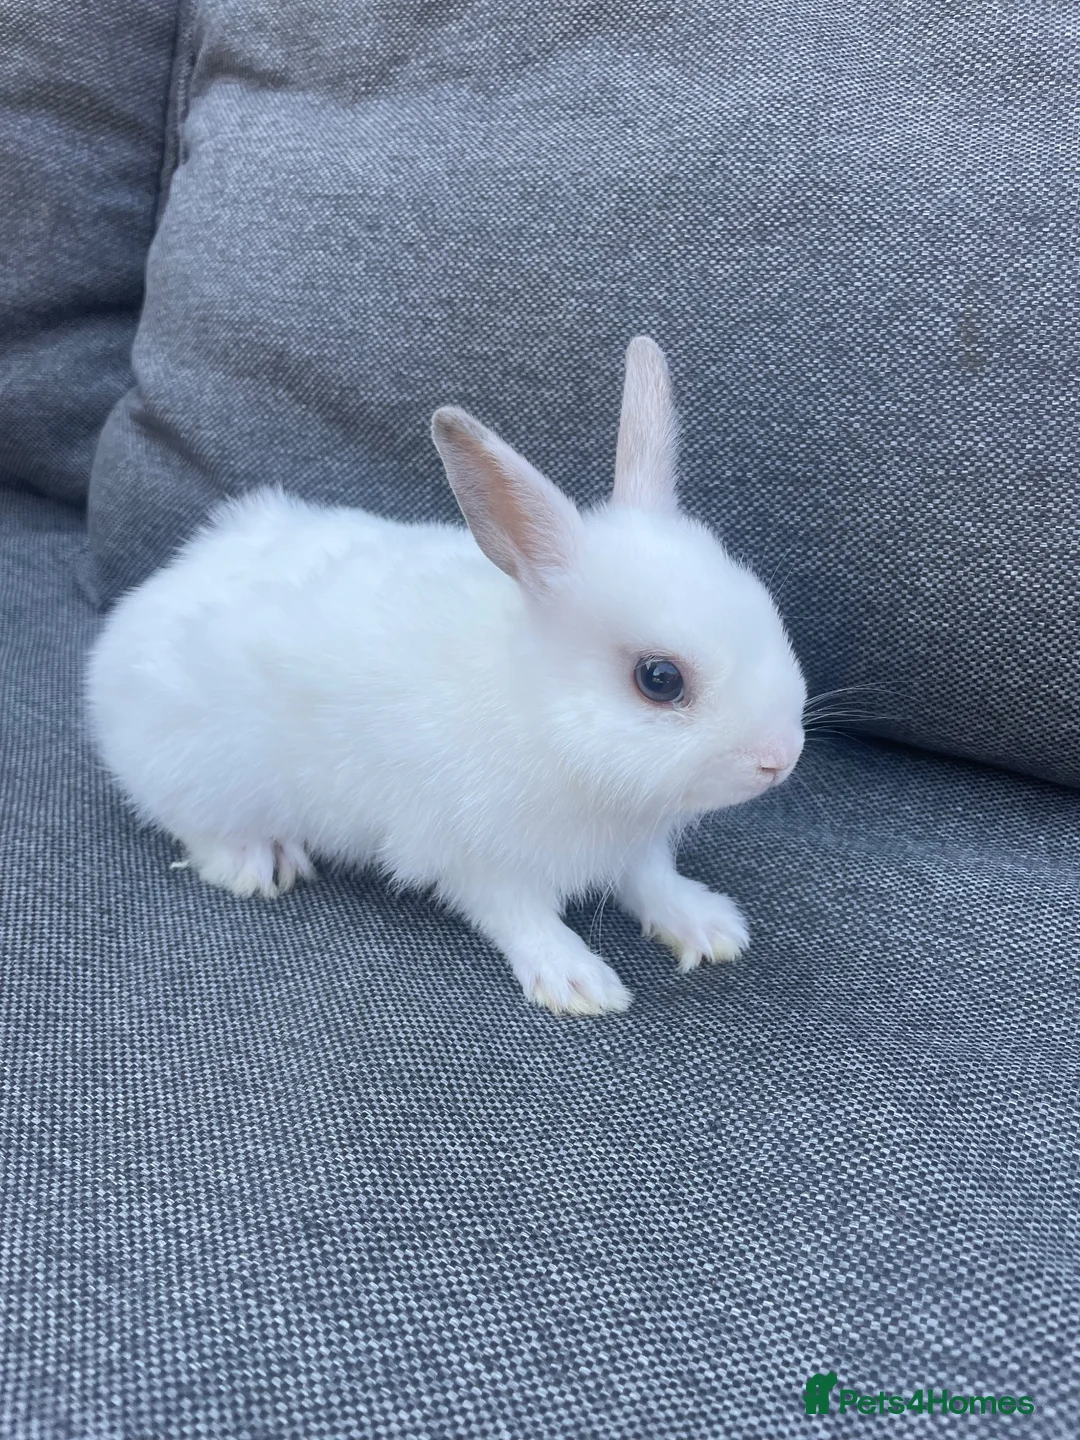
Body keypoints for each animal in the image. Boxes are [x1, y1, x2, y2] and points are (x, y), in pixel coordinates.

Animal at [86, 337, 806, 1016]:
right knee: (191, 824)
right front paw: (578, 981)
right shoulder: (478, 856)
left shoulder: (639, 848)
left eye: (763, 604)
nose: (781, 759)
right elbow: (521, 917)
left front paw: (710, 926)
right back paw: (259, 861)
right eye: (659, 679)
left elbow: (653, 882)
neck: (542, 714)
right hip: (201, 771)